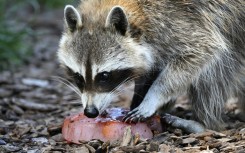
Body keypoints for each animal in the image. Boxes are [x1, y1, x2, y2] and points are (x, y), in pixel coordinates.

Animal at [58, 0, 245, 130]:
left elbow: (203, 51)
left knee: (216, 72)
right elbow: (149, 69)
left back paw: (202, 123)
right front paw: (139, 96)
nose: (90, 112)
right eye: (78, 76)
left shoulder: (179, 23)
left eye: (104, 76)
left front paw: (152, 98)